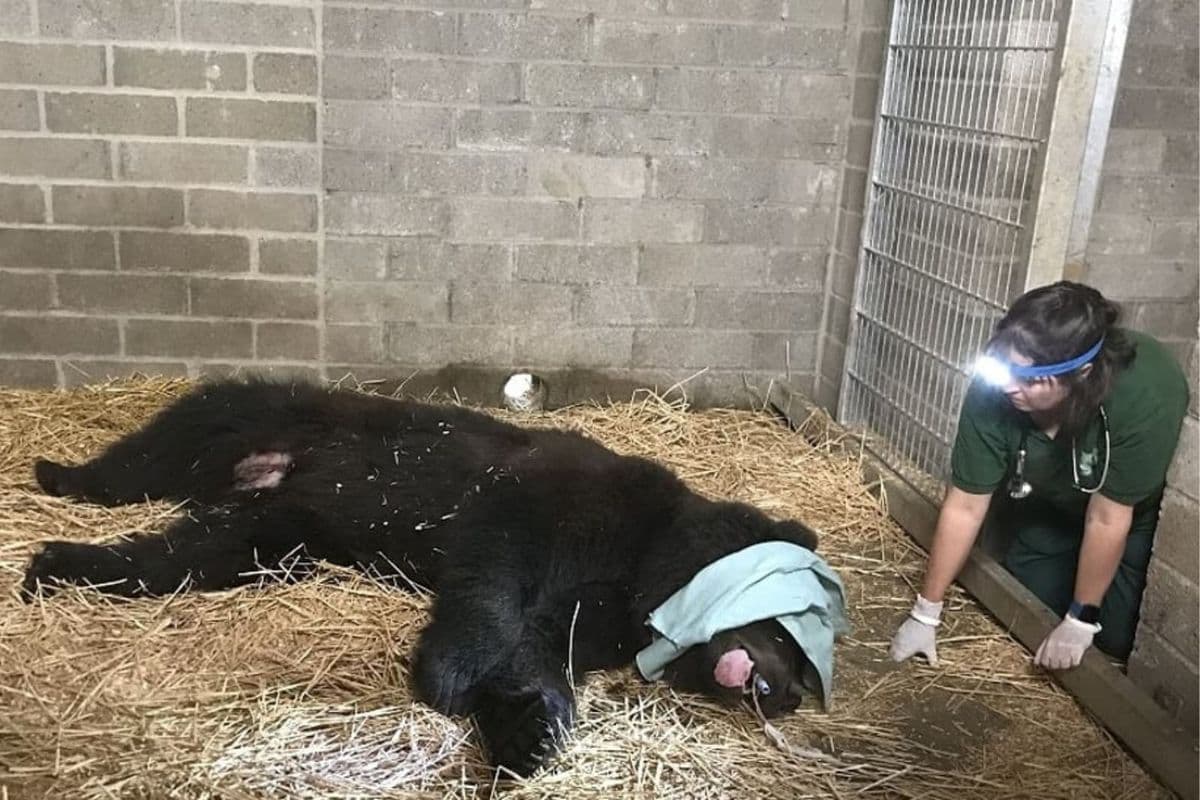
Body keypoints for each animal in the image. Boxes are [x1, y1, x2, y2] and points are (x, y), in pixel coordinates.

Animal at [22, 378, 823, 777]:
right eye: (793, 630)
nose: (784, 693)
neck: (643, 567)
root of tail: (260, 475)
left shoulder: (596, 613)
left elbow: (541, 649)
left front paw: (526, 732)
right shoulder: (543, 499)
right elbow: (495, 578)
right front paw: (450, 674)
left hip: (274, 536)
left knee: (180, 554)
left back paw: (64, 567)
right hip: (255, 417)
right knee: (151, 453)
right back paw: (58, 476)